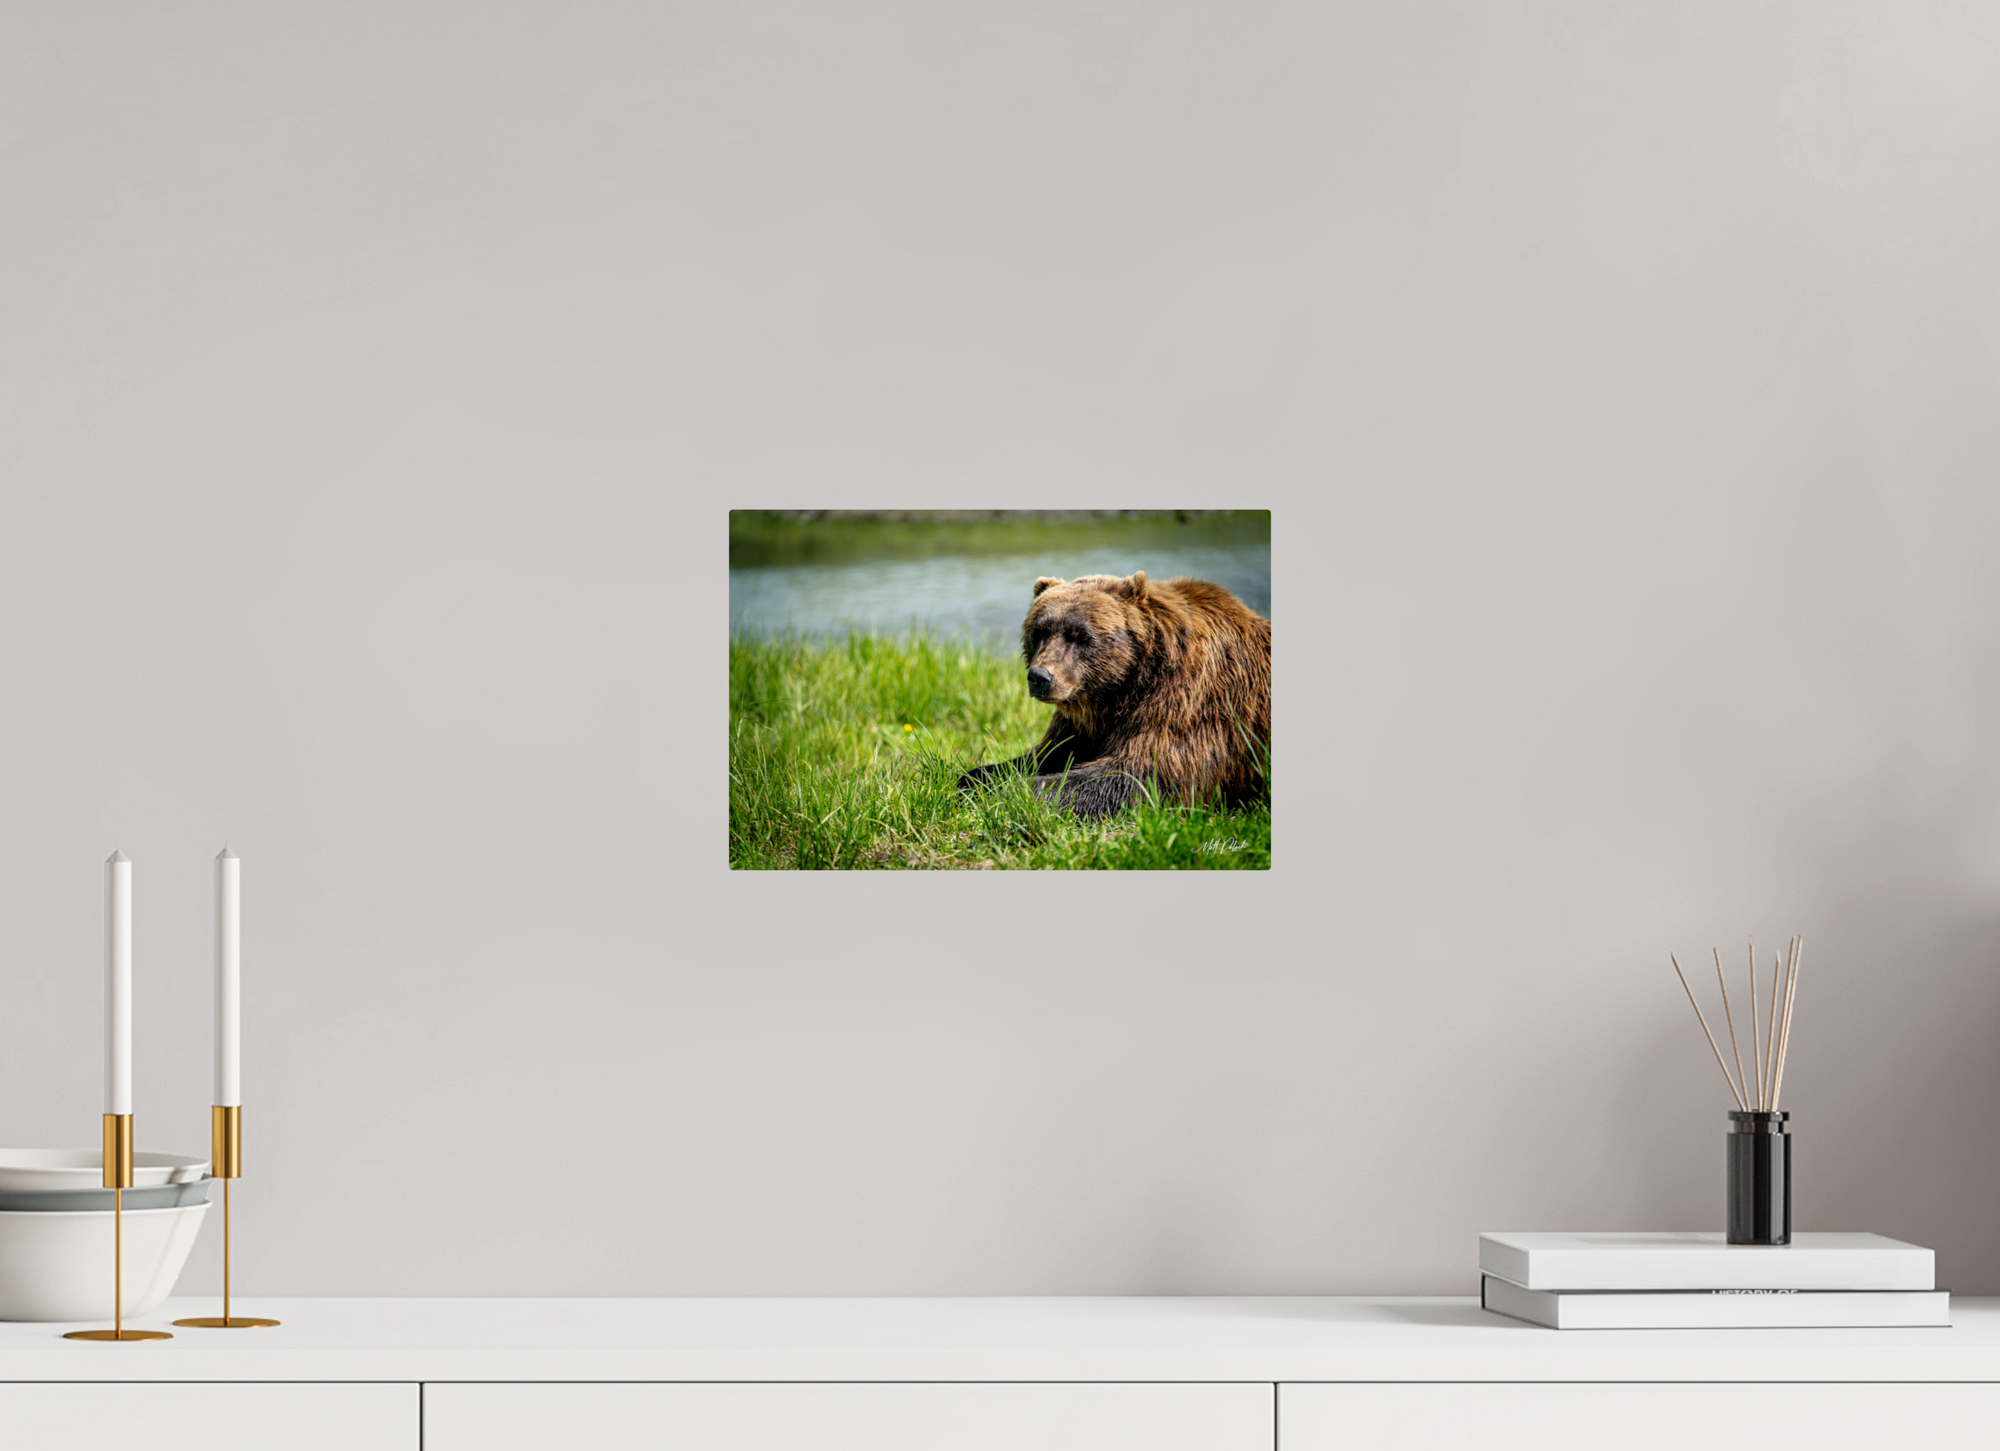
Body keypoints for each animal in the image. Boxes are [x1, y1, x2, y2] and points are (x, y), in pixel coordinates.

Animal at [957, 571, 1271, 819]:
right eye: (1039, 630)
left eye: (1081, 635)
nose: (1040, 677)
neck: (1117, 690)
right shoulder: (1081, 722)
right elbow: (1045, 754)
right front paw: (970, 778)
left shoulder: (1186, 701)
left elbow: (1140, 774)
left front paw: (1010, 792)